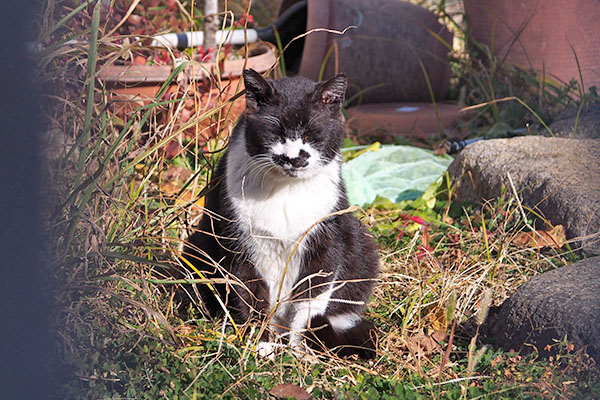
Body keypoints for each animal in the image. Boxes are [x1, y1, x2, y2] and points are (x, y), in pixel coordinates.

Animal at [183, 69, 380, 360]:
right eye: (276, 132)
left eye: (312, 133)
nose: (294, 158)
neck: (286, 191)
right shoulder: (239, 243)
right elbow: (251, 294)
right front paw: (262, 345)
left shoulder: (326, 240)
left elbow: (311, 298)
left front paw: (300, 350)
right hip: (196, 244)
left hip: (361, 242)